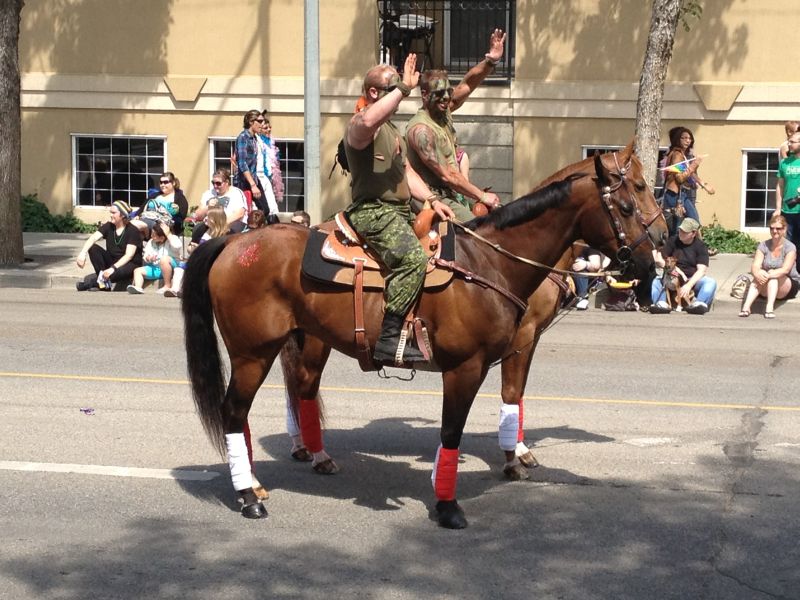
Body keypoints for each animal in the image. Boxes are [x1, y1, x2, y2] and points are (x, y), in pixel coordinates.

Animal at [181, 143, 667, 529]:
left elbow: (508, 401)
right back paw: (249, 495)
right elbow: (456, 429)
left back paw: (280, 472)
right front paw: (452, 502)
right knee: (235, 410)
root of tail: (235, 242)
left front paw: (503, 463)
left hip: (287, 343)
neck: (489, 264)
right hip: (254, 352)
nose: (657, 252)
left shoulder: (515, 346)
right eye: (630, 201)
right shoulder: (470, 366)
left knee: (278, 398)